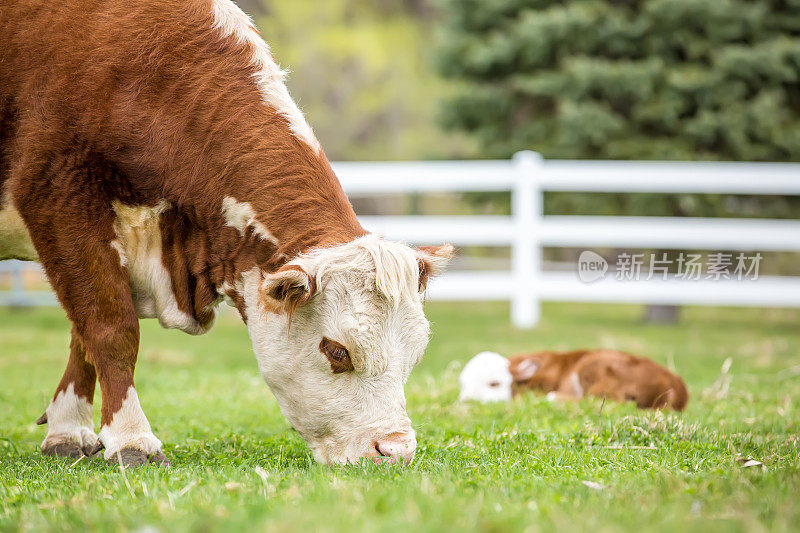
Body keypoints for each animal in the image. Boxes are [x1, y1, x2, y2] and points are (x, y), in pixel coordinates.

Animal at [0, 0, 450, 464]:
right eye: (337, 350)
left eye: (416, 352)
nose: (395, 450)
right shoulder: (60, 200)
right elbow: (110, 327)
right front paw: (130, 436)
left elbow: (83, 335)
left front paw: (68, 429)